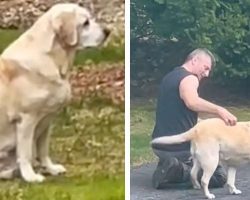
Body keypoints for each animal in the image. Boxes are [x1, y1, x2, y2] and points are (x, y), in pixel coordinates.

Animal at [0, 3, 110, 182]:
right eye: (85, 23)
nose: (108, 31)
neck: (53, 59)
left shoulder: (47, 120)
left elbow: (43, 150)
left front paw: (50, 169)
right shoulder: (26, 119)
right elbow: (26, 153)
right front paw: (31, 176)